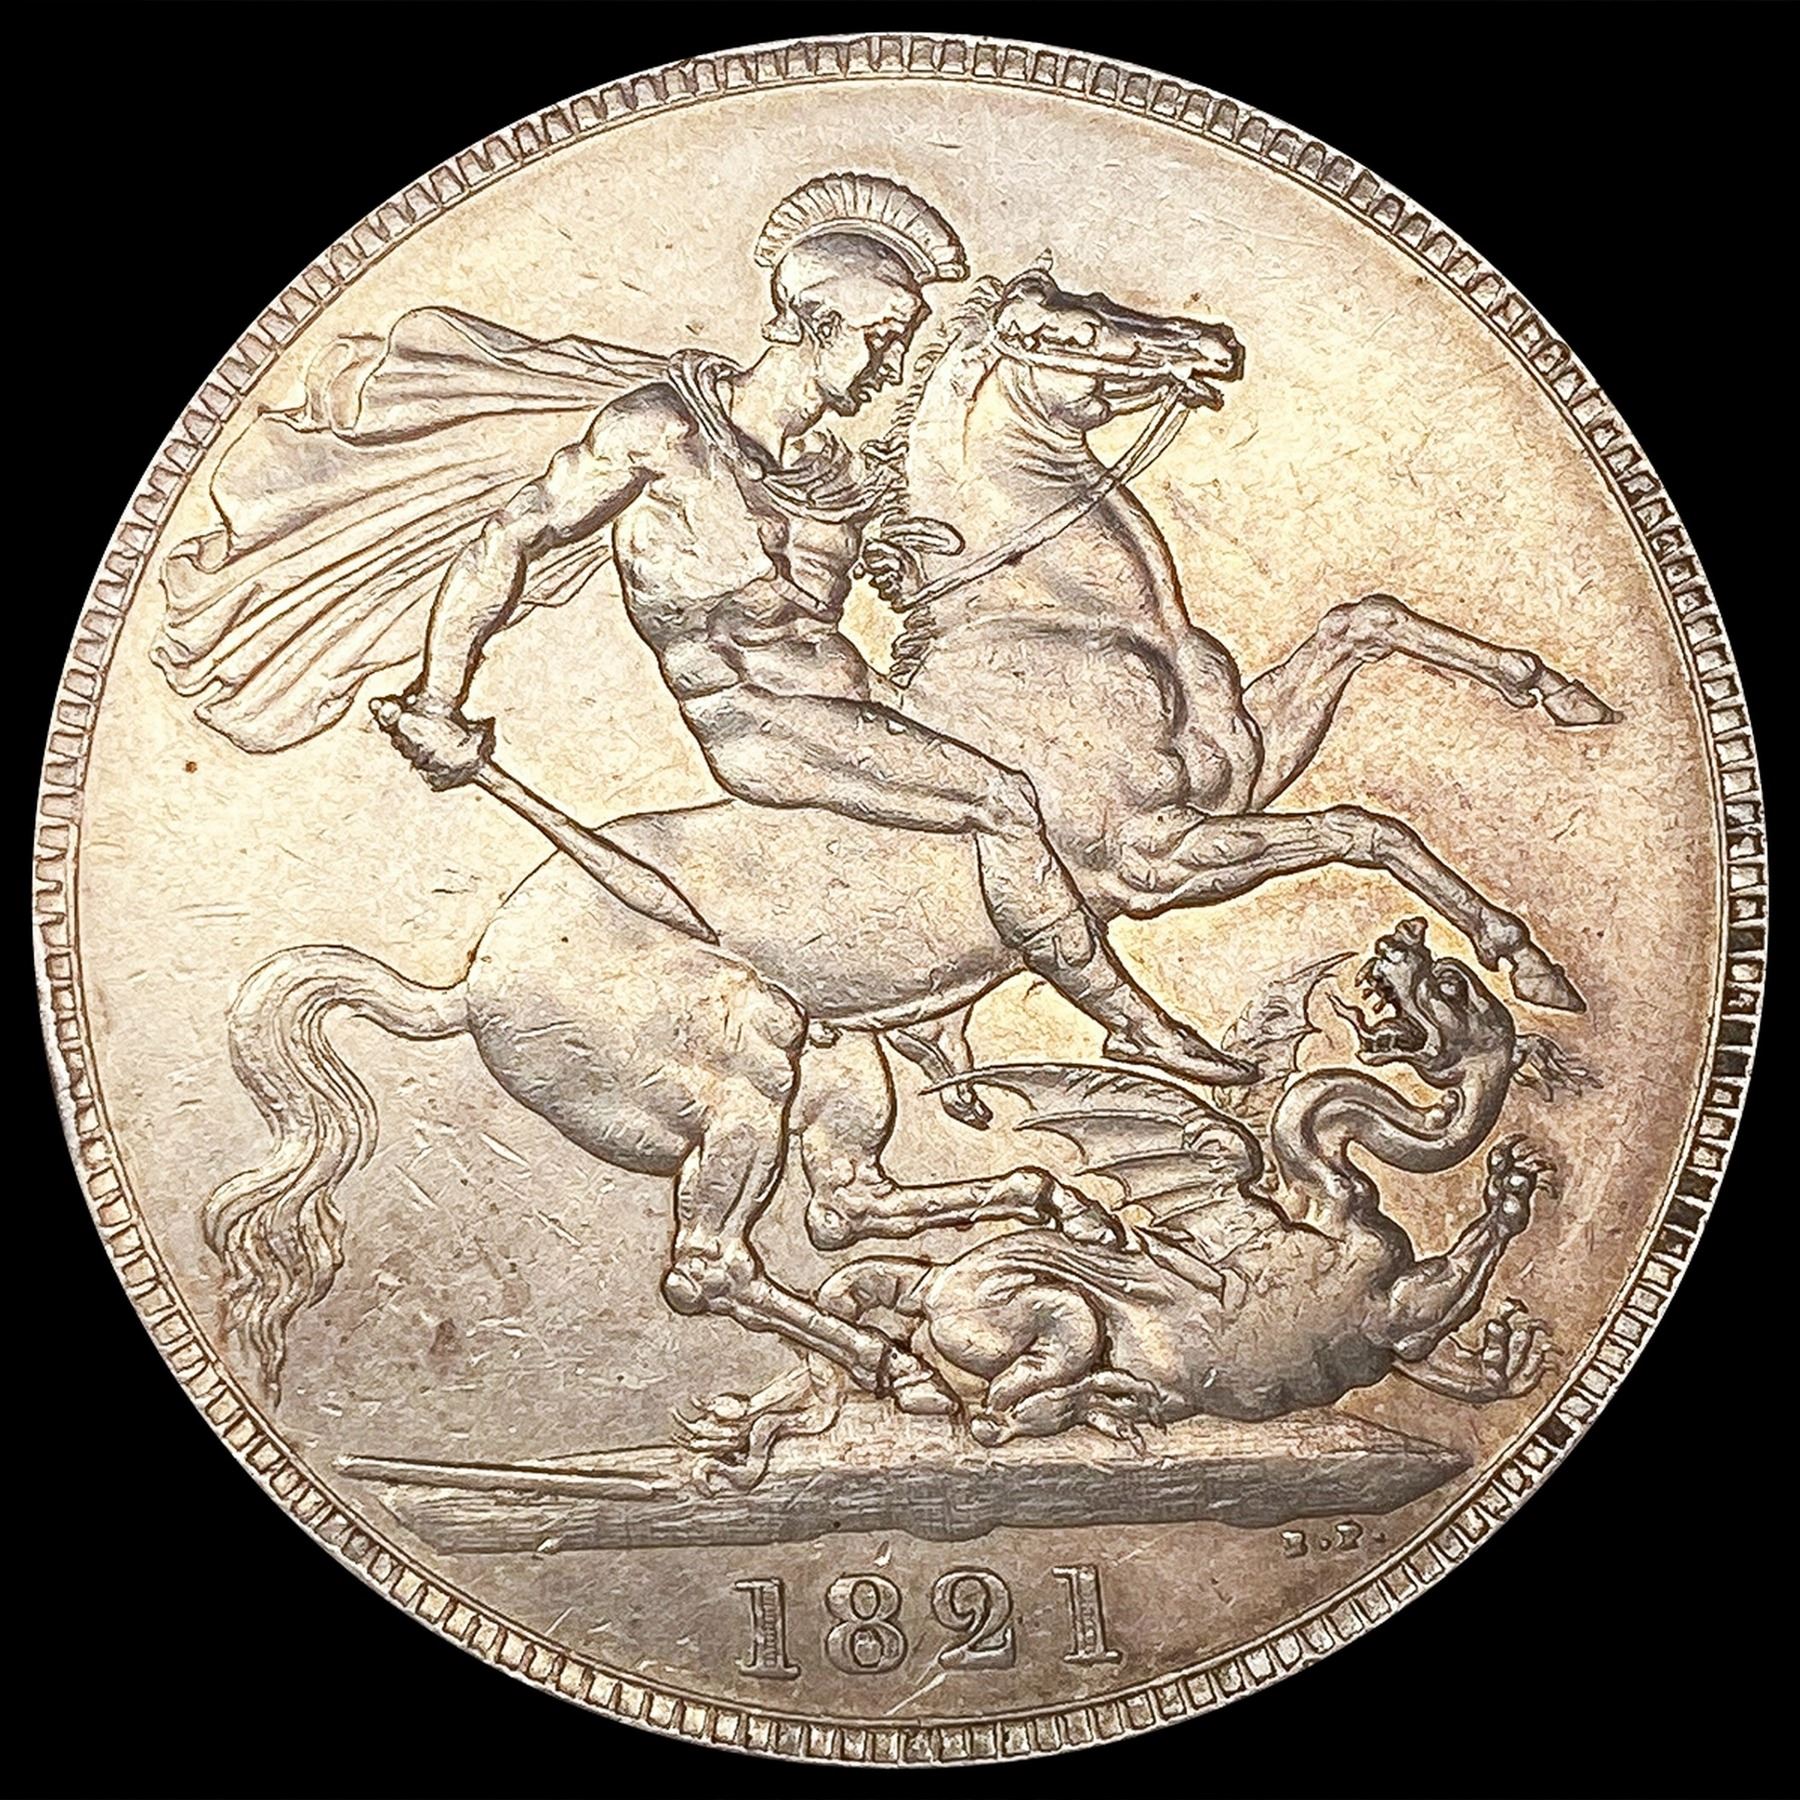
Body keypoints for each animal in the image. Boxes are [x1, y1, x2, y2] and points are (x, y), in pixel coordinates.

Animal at [207, 264, 1614, 1413]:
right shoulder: (1153, 859)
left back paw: (1037, 1210)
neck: (1061, 621)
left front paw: (1557, 698)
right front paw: (1513, 961)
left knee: (844, 1205)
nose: (1212, 344)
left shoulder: (1243, 770)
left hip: (840, 1065)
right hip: (746, 1069)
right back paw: (914, 1353)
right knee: (708, 1264)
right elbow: (1363, 827)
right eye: (1060, 322)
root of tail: (466, 984)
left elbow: (1366, 623)